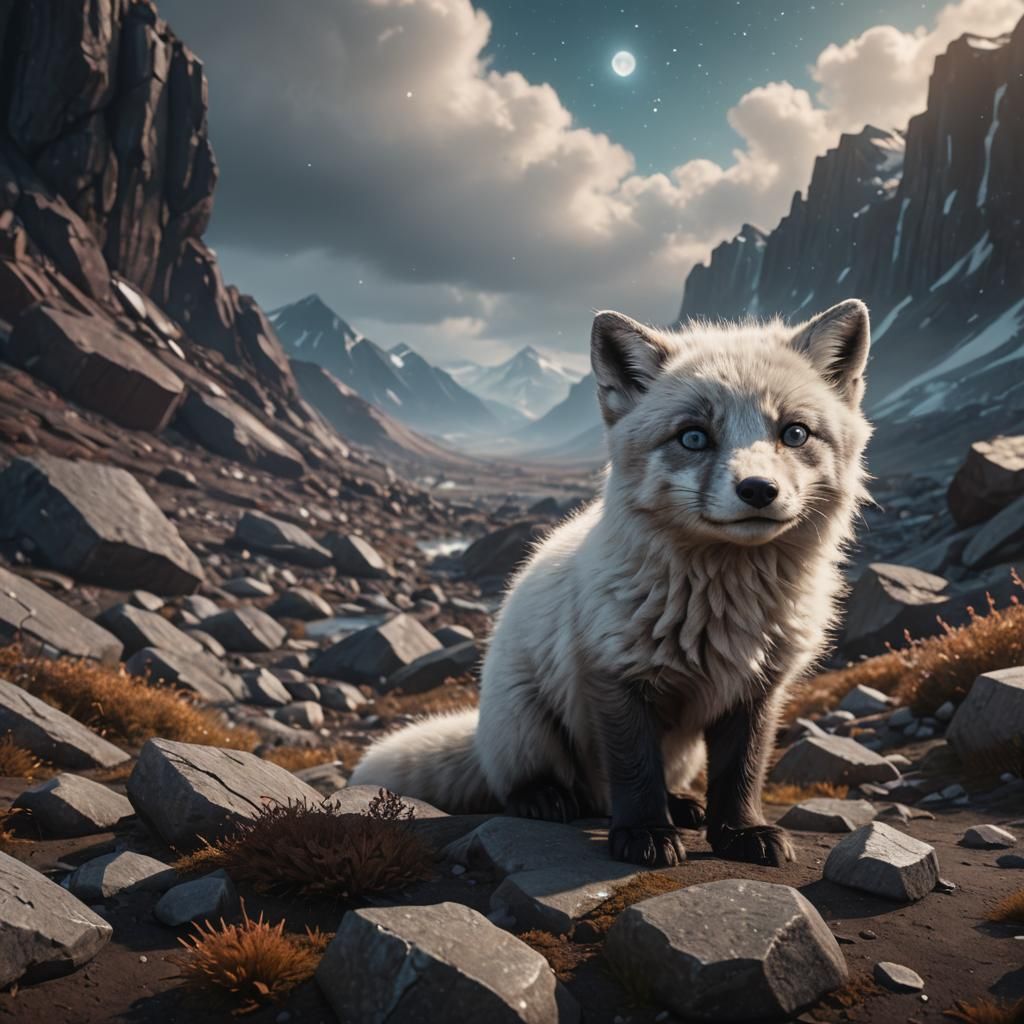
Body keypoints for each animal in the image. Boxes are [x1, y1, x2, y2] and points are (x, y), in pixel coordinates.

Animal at [350, 299, 873, 867]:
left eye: (794, 433)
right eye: (693, 436)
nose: (759, 489)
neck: (722, 609)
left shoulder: (757, 690)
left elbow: (742, 773)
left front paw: (741, 831)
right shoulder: (614, 675)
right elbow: (634, 772)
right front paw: (645, 834)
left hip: (684, 750)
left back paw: (682, 805)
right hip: (524, 722)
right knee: (545, 786)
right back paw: (544, 799)